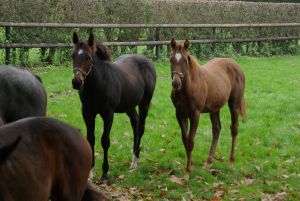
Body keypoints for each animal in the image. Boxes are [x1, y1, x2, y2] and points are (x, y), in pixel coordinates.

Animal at [71, 32, 156, 182]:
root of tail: (147, 60)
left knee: (140, 128)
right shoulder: (87, 113)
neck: (97, 85)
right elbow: (90, 139)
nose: (76, 82)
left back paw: (134, 163)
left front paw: (105, 173)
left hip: (144, 103)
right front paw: (91, 172)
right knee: (135, 123)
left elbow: (105, 141)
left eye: (88, 58)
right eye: (72, 56)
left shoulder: (108, 114)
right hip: (129, 106)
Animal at [169, 38, 246, 179]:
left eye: (185, 60)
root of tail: (236, 65)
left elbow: (191, 142)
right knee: (216, 129)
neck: (189, 87)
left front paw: (187, 172)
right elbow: (185, 140)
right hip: (215, 109)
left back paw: (231, 162)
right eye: (171, 59)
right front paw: (190, 164)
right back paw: (208, 162)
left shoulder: (195, 114)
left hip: (234, 104)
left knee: (234, 129)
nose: (176, 83)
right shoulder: (180, 114)